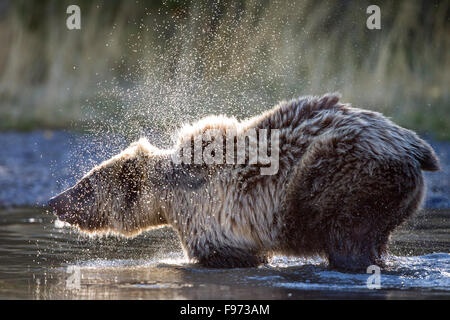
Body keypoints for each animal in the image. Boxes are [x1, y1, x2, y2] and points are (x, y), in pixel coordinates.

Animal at [49, 92, 440, 270]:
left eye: (85, 184)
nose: (54, 201)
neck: (171, 197)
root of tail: (415, 146)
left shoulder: (215, 214)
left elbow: (227, 255)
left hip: (347, 179)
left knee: (350, 236)